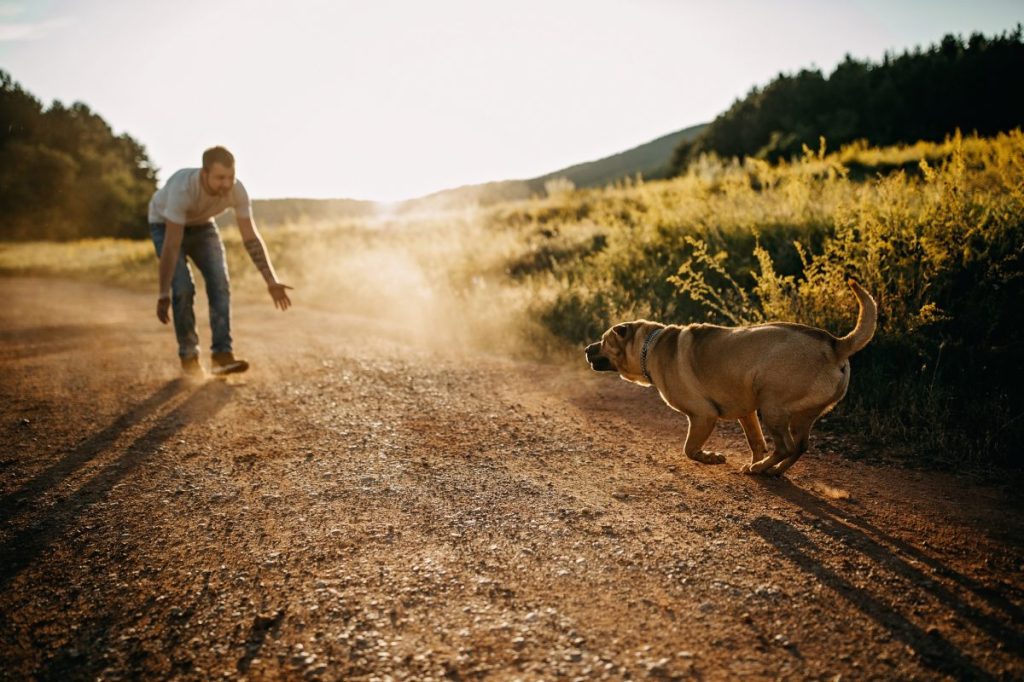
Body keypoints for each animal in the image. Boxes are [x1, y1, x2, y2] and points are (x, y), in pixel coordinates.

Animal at [589, 278, 876, 475]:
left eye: (603, 341)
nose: (586, 349)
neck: (650, 345)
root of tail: (836, 345)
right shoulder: (746, 413)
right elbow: (755, 441)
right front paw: (755, 458)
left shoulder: (703, 416)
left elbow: (689, 449)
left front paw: (711, 457)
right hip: (800, 416)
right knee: (798, 447)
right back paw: (772, 470)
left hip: (771, 408)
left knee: (785, 446)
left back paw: (759, 469)